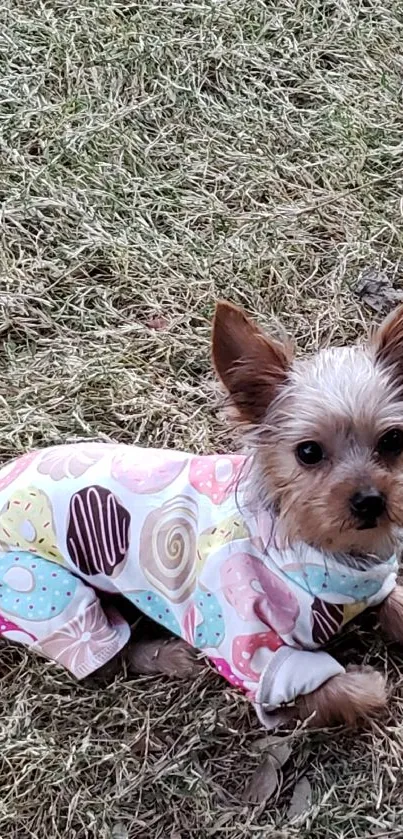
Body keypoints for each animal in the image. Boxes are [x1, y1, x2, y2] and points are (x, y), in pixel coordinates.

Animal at [0, 302, 402, 728]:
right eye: (308, 452)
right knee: (108, 658)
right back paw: (170, 655)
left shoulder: (374, 584)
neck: (325, 550)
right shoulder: (249, 648)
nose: (370, 500)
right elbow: (345, 691)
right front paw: (365, 684)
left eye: (393, 440)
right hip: (51, 597)